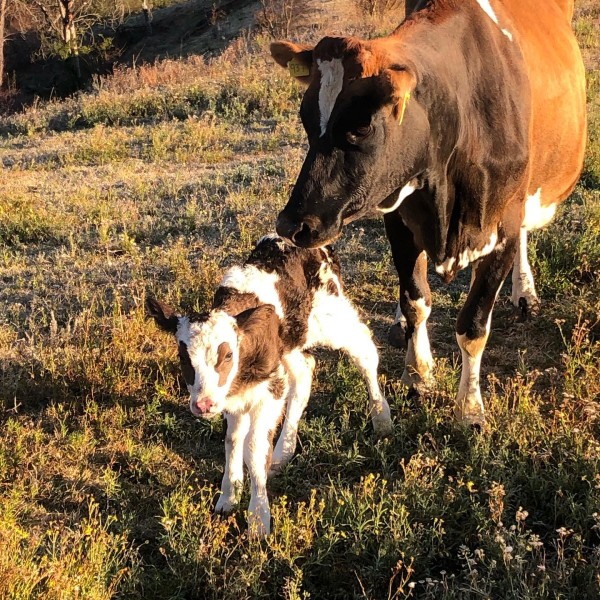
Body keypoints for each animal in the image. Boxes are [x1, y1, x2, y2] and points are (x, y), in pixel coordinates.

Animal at [144, 233, 390, 536]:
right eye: (183, 357)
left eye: (228, 355)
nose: (203, 404)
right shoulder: (235, 395)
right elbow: (233, 439)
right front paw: (229, 496)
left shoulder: (270, 391)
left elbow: (253, 448)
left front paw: (258, 519)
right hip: (290, 344)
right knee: (305, 370)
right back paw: (284, 451)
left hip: (330, 317)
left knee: (364, 349)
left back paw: (382, 418)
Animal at [268, 0, 584, 424]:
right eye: (305, 118)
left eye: (361, 126)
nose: (291, 223)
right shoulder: (399, 221)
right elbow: (415, 301)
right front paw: (418, 374)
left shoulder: (503, 221)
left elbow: (473, 324)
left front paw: (469, 408)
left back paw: (525, 292)